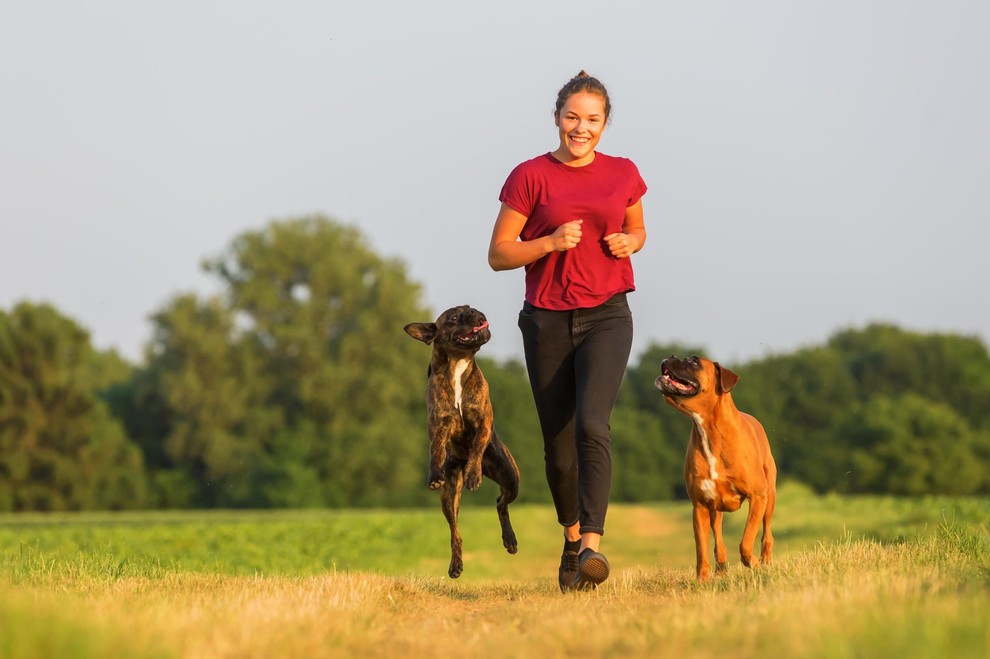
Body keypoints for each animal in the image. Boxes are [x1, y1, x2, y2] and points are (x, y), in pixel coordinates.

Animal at [656, 356, 780, 584]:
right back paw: (721, 570)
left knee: (767, 534)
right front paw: (702, 581)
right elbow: (702, 549)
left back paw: (765, 562)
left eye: (693, 362)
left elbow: (746, 541)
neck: (708, 429)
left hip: (770, 498)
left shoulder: (757, 497)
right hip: (715, 510)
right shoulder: (700, 507)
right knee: (718, 542)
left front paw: (754, 565)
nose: (669, 357)